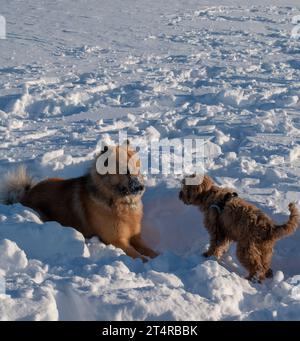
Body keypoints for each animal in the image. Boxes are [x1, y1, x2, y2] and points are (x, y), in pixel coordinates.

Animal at [0, 143, 158, 260]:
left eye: (138, 168)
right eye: (125, 171)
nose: (141, 187)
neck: (116, 201)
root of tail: (26, 194)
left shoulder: (136, 238)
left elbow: (150, 251)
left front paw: (159, 256)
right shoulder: (117, 241)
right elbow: (138, 255)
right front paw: (147, 261)